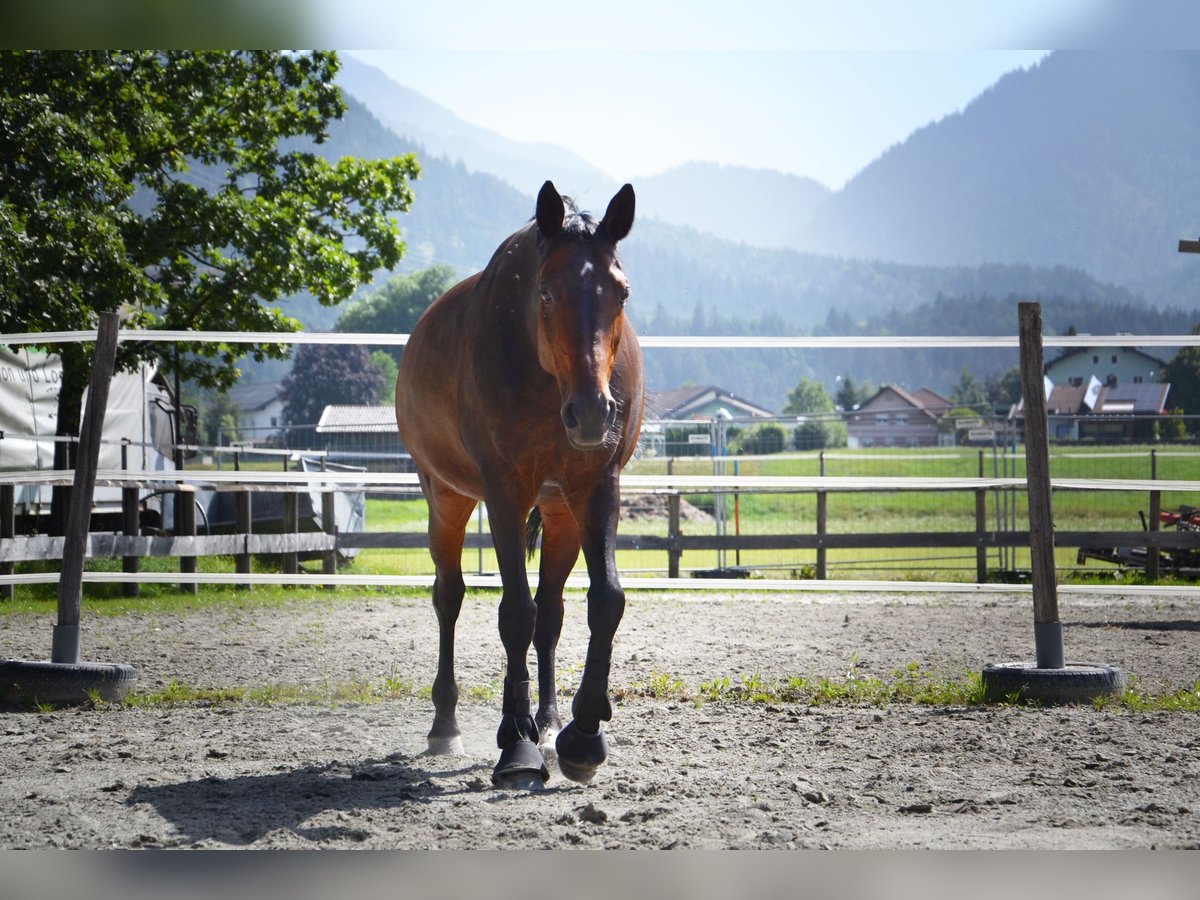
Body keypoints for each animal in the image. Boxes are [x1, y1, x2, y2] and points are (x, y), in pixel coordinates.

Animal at [396, 180, 643, 787]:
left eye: (621, 293)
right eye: (547, 294)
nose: (593, 413)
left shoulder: (597, 487)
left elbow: (604, 600)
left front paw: (582, 735)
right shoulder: (504, 492)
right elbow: (514, 613)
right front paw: (516, 743)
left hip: (560, 512)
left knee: (551, 613)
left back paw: (550, 723)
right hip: (447, 497)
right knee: (450, 596)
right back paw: (446, 725)